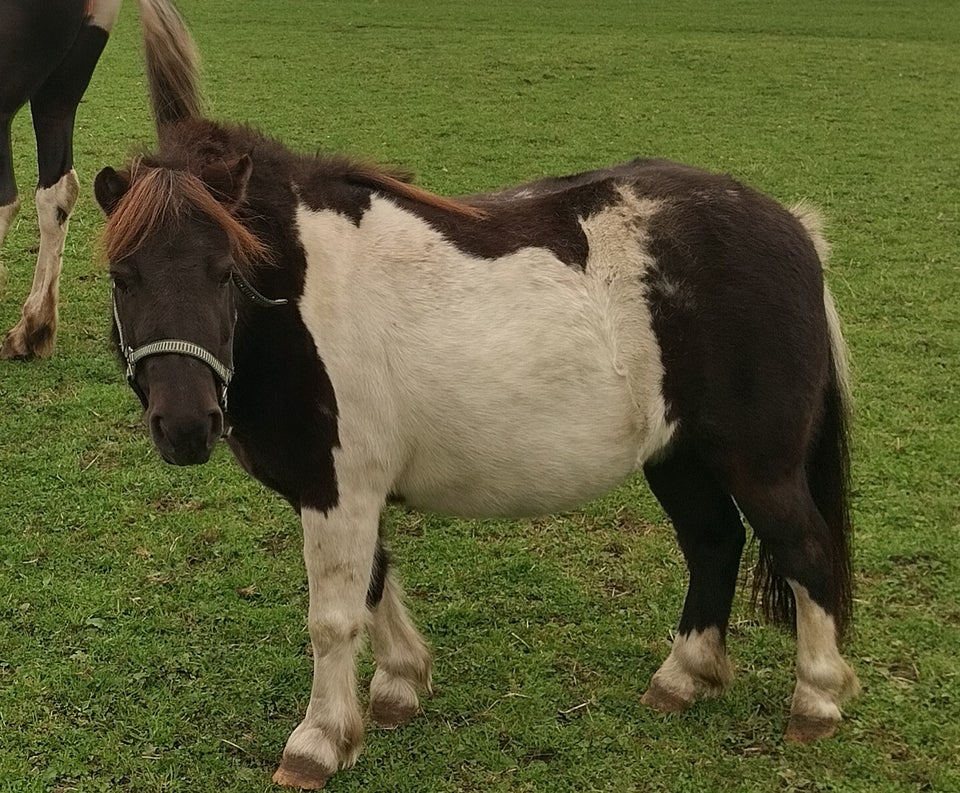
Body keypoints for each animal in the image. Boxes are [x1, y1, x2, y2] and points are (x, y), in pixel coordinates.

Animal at [95, 0, 864, 784]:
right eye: (122, 276)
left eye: (225, 270)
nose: (185, 423)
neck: (295, 298)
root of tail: (794, 229)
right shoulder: (351, 488)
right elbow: (374, 582)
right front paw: (399, 684)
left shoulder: (338, 486)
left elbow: (335, 616)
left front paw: (318, 739)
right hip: (677, 454)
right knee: (713, 541)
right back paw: (683, 676)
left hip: (758, 461)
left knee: (803, 549)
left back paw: (816, 700)